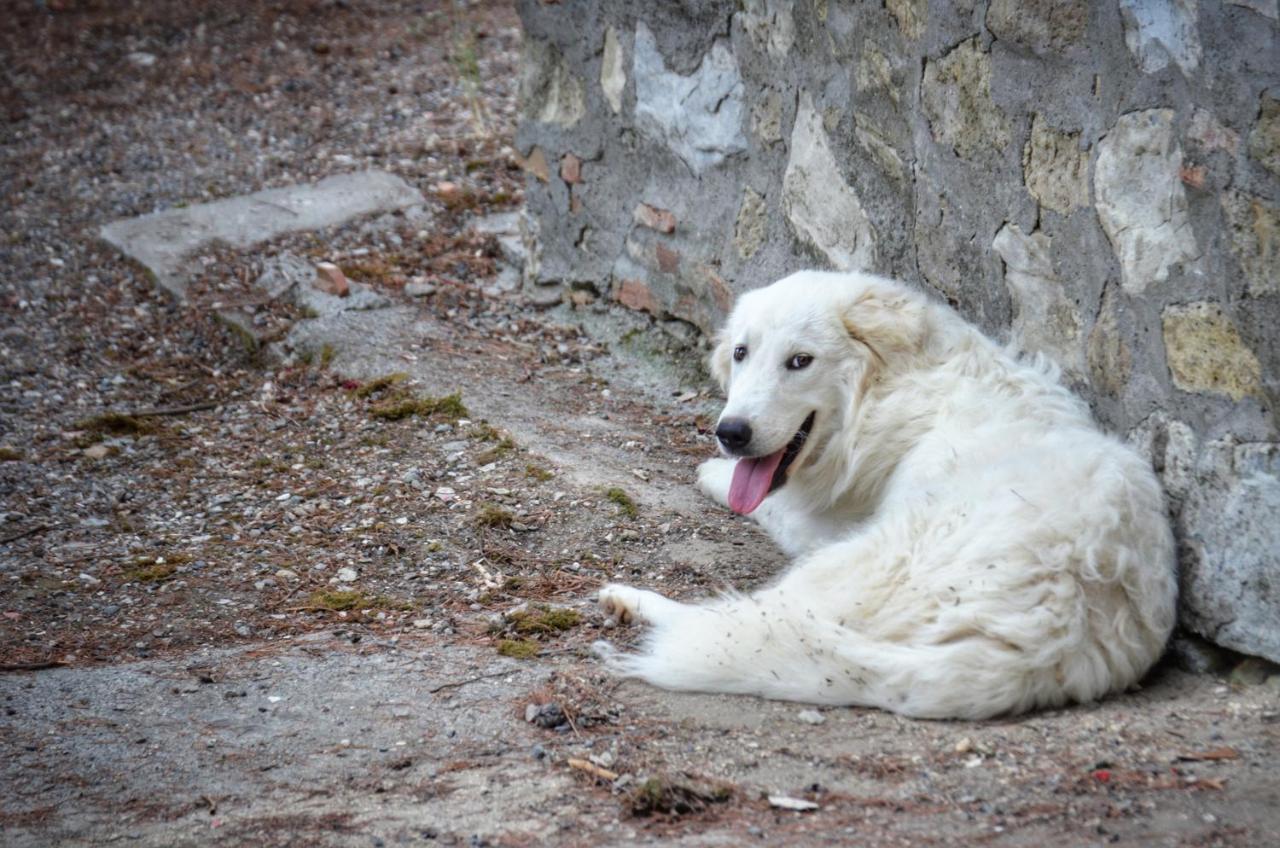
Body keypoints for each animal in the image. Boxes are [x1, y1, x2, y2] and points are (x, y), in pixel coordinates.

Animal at [593, 270, 1172, 717]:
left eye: (799, 361)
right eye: (741, 353)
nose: (730, 433)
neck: (889, 387)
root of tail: (1055, 634)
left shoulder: (824, 522)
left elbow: (771, 503)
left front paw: (711, 471)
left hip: (848, 565)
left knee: (731, 621)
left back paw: (632, 601)